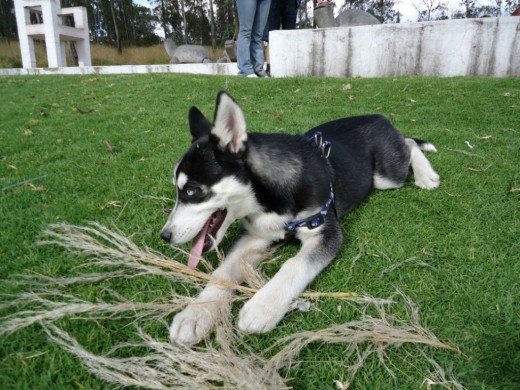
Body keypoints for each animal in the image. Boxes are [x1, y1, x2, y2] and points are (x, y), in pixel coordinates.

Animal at [161, 90, 438, 344]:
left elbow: (295, 265)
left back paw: (426, 175)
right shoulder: (254, 235)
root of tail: (379, 117)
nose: (165, 236)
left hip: (386, 178)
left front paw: (262, 307)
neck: (269, 202)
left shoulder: (326, 231)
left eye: (191, 191)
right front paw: (195, 314)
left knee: (409, 144)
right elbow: (223, 271)